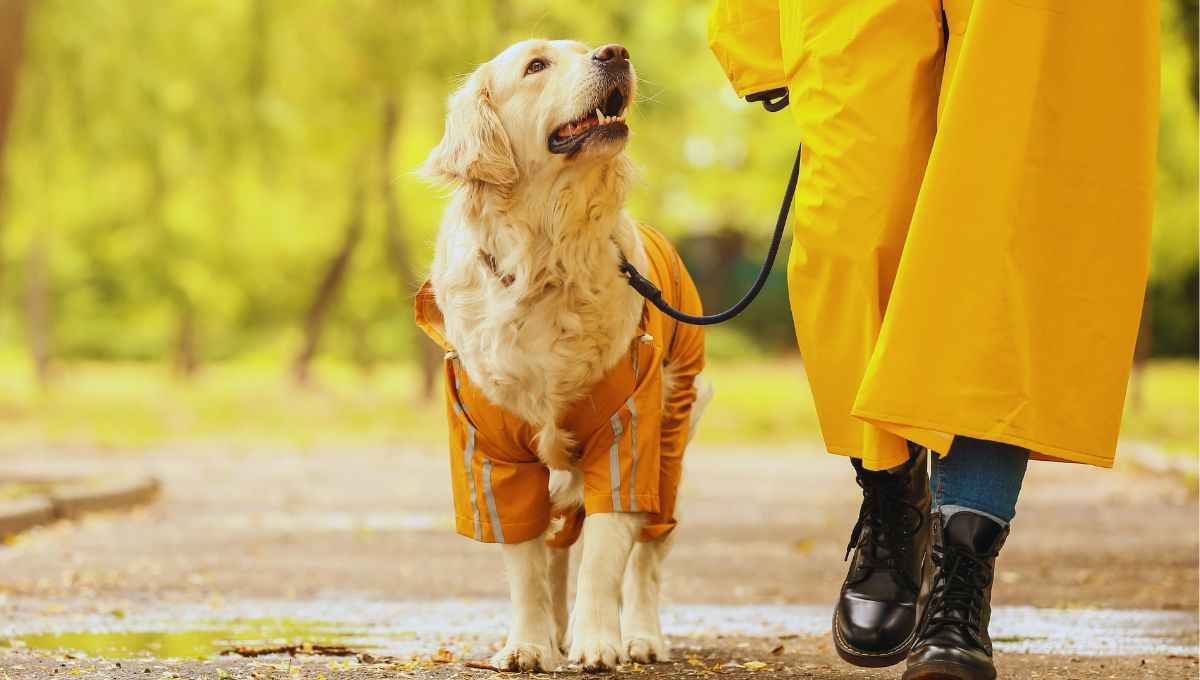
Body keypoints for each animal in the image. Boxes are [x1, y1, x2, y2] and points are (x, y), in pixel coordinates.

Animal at [420, 39, 705, 671]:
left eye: (584, 48)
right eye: (535, 66)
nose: (615, 52)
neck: (545, 260)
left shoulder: (626, 433)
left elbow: (604, 554)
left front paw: (598, 641)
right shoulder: (492, 451)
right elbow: (526, 566)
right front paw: (529, 644)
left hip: (671, 441)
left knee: (648, 554)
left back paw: (640, 635)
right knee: (554, 548)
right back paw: (553, 631)